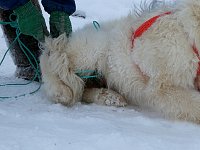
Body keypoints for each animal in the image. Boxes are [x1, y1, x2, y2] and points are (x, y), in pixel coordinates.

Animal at [39, 0, 200, 123]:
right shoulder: (162, 86)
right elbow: (193, 103)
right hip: (92, 50)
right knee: (53, 59)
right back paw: (61, 89)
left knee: (84, 89)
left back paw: (111, 97)